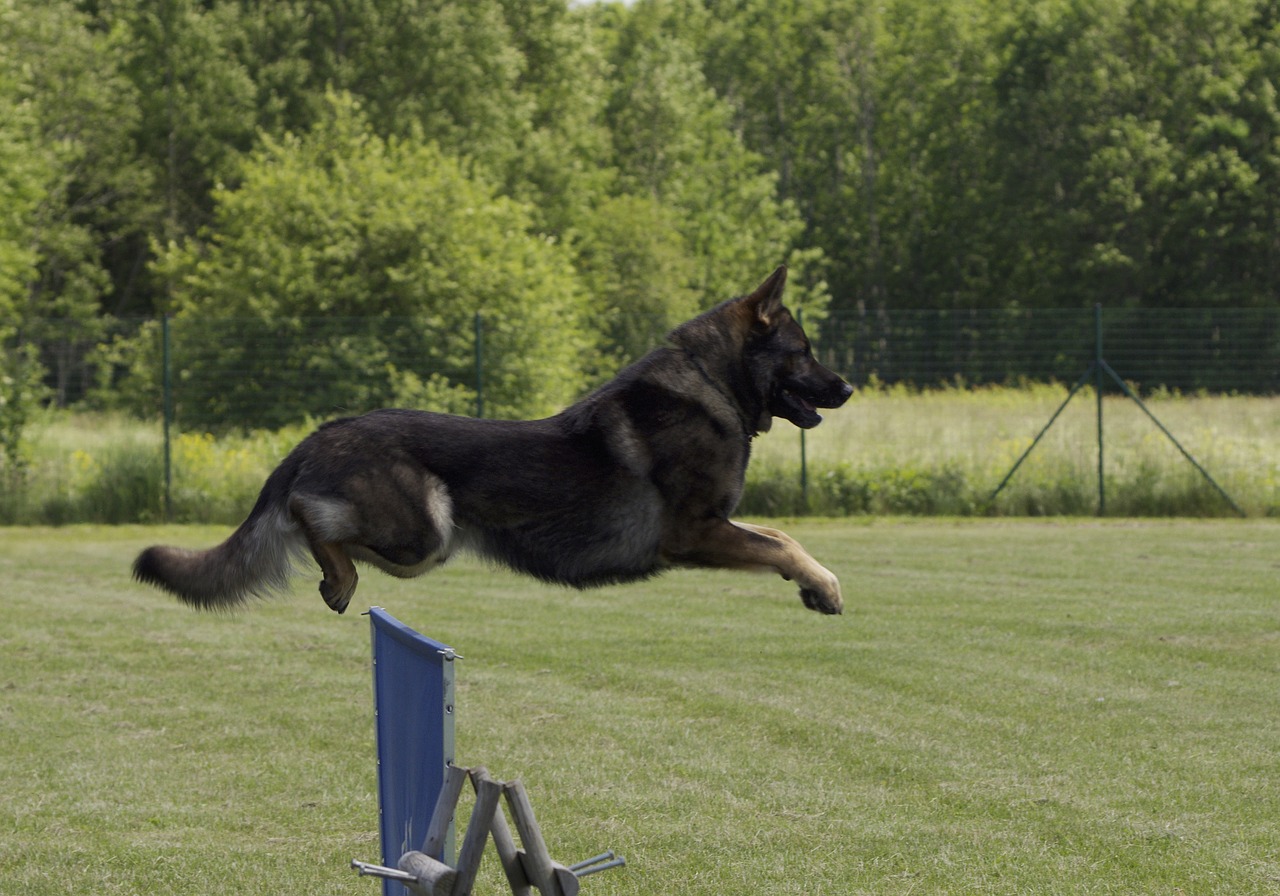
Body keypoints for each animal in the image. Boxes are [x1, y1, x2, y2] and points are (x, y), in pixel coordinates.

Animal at [132, 266, 849, 616]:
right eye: (803, 351)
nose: (846, 389)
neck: (710, 382)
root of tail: (318, 435)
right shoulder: (695, 532)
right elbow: (782, 545)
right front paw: (826, 586)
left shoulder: (718, 528)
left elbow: (780, 535)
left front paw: (816, 585)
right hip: (427, 531)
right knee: (313, 520)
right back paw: (337, 575)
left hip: (429, 542)